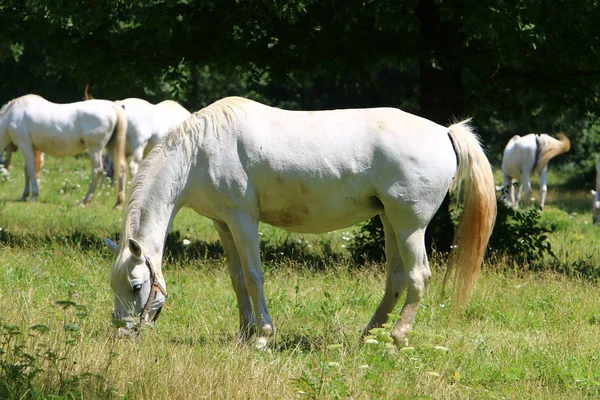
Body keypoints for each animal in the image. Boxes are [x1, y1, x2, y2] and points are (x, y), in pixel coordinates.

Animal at [104, 96, 496, 346]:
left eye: (137, 286)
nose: (122, 333)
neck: (200, 151)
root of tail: (444, 131)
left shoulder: (243, 220)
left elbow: (253, 277)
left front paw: (262, 336)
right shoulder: (223, 223)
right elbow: (236, 279)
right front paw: (244, 333)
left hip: (409, 226)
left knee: (417, 277)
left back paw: (397, 339)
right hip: (390, 222)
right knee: (396, 280)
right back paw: (369, 335)